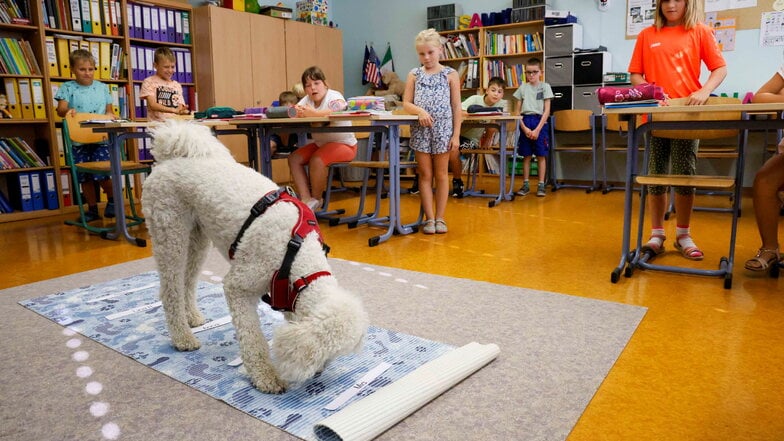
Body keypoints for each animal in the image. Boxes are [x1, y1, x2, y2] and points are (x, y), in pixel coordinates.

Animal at [142, 119, 370, 392]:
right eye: (324, 355)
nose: (318, 373)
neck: (295, 255)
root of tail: (169, 158)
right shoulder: (238, 286)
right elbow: (251, 336)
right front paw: (265, 376)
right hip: (170, 231)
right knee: (170, 289)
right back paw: (182, 337)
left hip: (197, 238)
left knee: (188, 280)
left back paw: (193, 318)